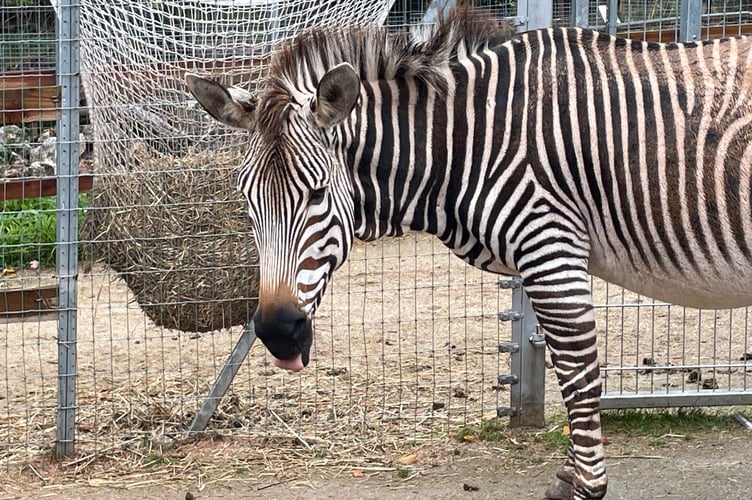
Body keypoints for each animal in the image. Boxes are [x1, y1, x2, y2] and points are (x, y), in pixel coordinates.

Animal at [186, 9, 752, 499]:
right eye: (245, 198)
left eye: (319, 193)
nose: (278, 333)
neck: (464, 142)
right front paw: (573, 476)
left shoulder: (550, 248)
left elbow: (579, 376)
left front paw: (586, 487)